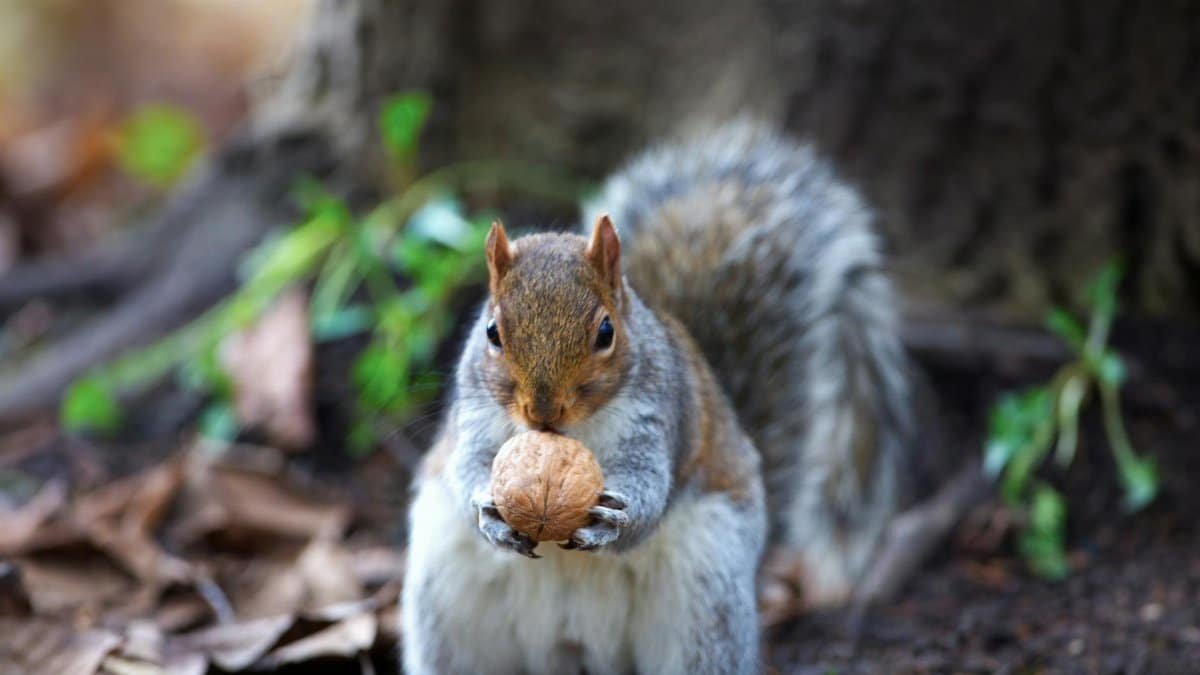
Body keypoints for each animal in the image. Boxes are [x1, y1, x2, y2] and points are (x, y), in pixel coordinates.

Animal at [401, 120, 915, 674]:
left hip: (706, 595)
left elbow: (651, 486)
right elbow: (467, 467)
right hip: (446, 600)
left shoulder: (659, 419)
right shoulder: (473, 419)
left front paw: (613, 519)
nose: (542, 411)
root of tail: (573, 646)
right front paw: (488, 511)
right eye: (492, 332)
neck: (571, 434)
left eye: (606, 331)